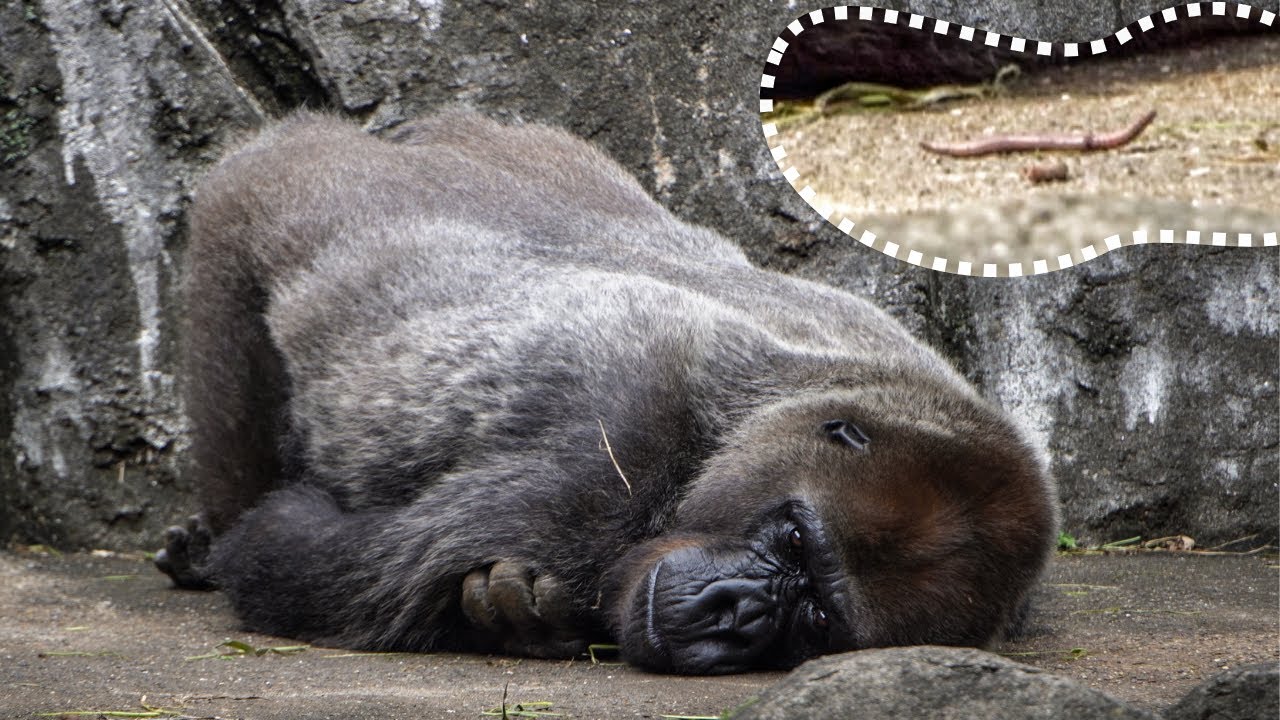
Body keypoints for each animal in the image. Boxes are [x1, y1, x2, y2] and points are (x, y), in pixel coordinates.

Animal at [154, 109, 1058, 674]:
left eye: (816, 620)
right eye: (796, 540)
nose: (735, 610)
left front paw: (520, 616)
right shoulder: (614, 443)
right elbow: (293, 555)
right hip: (295, 188)